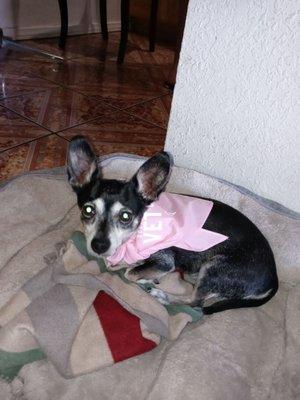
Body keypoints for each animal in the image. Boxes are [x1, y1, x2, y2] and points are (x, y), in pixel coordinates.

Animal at [67, 136, 278, 314]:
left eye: (126, 216)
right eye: (88, 211)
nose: (99, 245)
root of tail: (272, 280)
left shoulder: (164, 261)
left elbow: (129, 272)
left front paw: (143, 276)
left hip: (213, 268)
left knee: (195, 303)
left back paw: (162, 296)